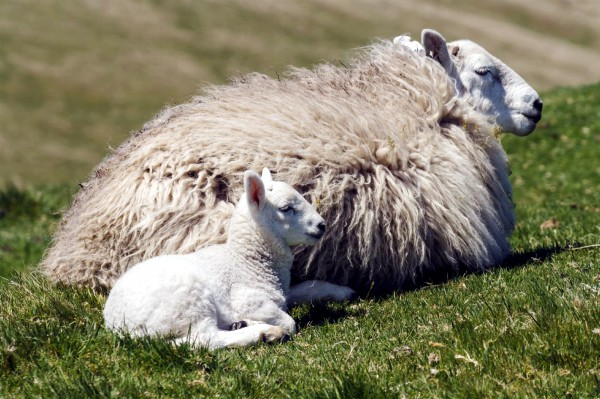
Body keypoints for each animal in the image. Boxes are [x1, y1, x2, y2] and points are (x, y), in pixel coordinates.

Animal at [104, 169, 356, 350]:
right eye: (286, 208)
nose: (322, 225)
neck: (246, 259)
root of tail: (116, 324)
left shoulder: (281, 292)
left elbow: (307, 287)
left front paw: (344, 292)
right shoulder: (248, 299)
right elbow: (289, 322)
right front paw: (264, 326)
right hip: (188, 302)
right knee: (204, 339)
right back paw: (263, 333)